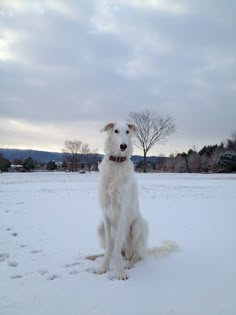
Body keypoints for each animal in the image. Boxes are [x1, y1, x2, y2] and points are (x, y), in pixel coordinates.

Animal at [96, 122, 148, 280]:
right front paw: (104, 267)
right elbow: (109, 247)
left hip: (138, 225)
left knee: (136, 254)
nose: (123, 146)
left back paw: (129, 264)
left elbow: (117, 245)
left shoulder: (122, 214)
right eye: (116, 131)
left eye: (127, 131)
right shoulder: (106, 214)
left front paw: (119, 272)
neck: (116, 165)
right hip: (100, 227)